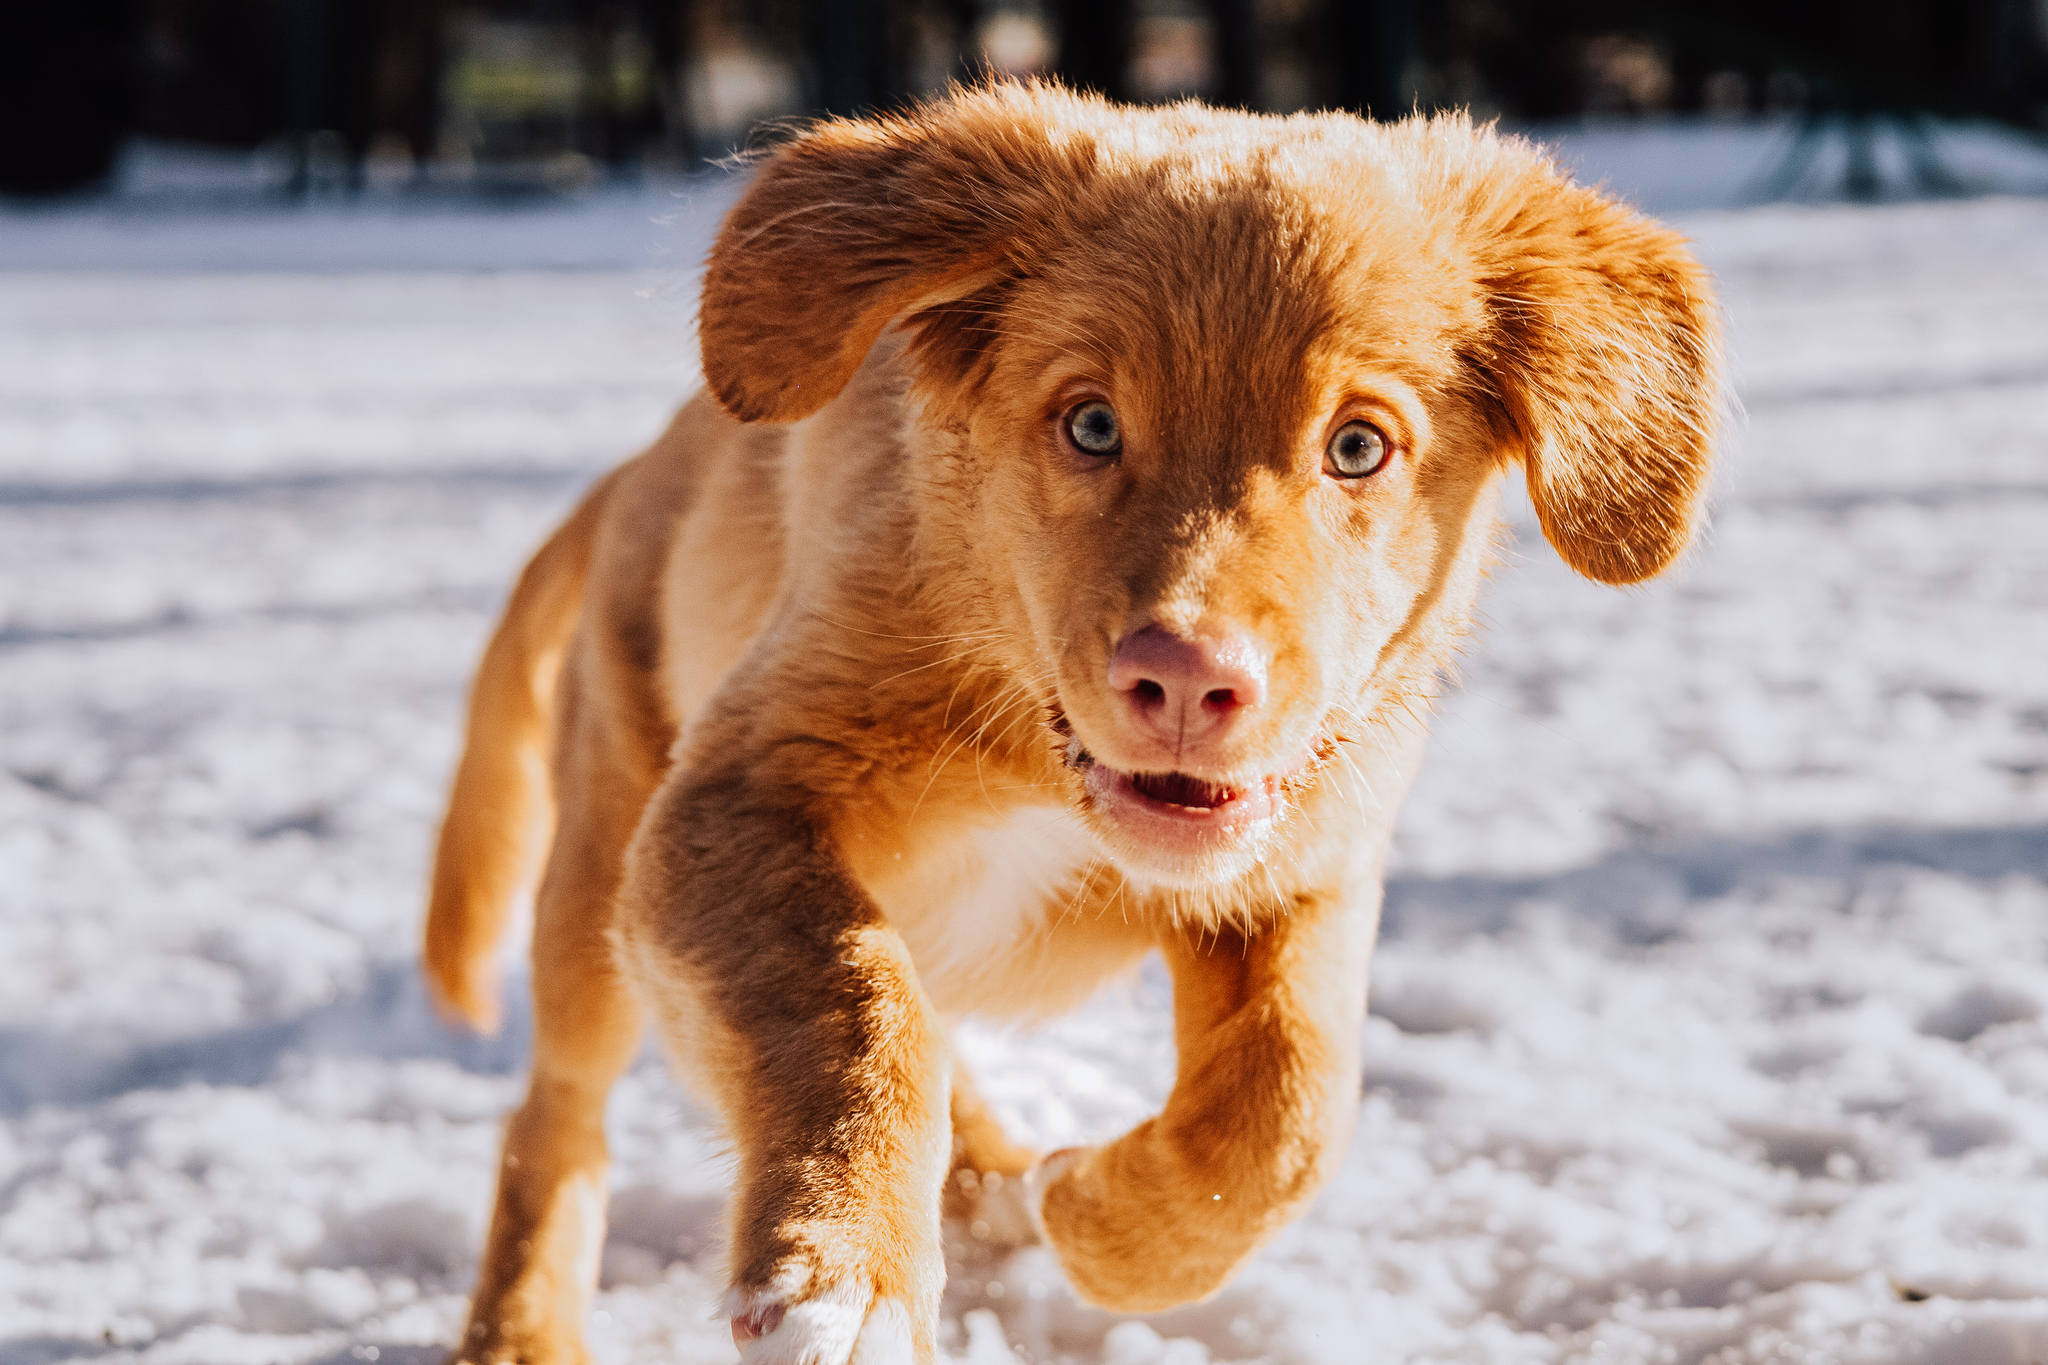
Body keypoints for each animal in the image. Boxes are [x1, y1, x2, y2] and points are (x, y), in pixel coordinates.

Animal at [423, 85, 1720, 1365]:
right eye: (1090, 425)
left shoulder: (1301, 864)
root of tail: (637, 471)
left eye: (1356, 446)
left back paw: (992, 1186)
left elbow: (1285, 1106)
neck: (1037, 756)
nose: (1187, 681)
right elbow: (848, 993)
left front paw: (1096, 1218)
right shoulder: (735, 795)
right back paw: (523, 1333)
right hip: (600, 858)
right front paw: (843, 1277)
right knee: (557, 1112)